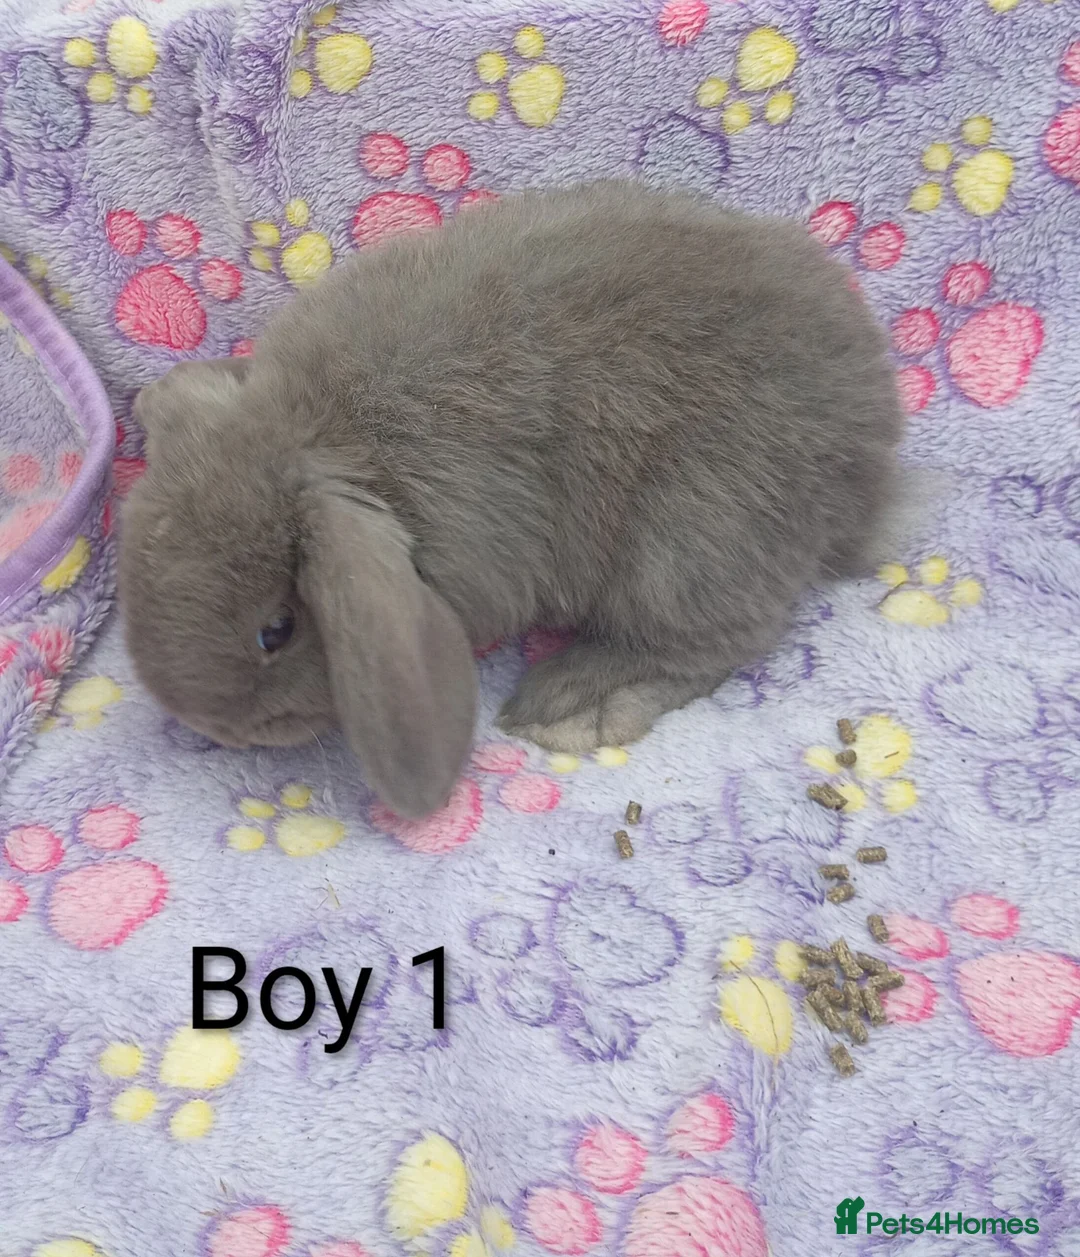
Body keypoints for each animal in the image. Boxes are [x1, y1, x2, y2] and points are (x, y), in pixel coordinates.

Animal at [118, 179, 905, 820]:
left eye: (275, 630)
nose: (216, 729)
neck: (317, 432)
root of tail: (870, 459)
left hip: (693, 536)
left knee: (716, 637)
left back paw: (570, 706)